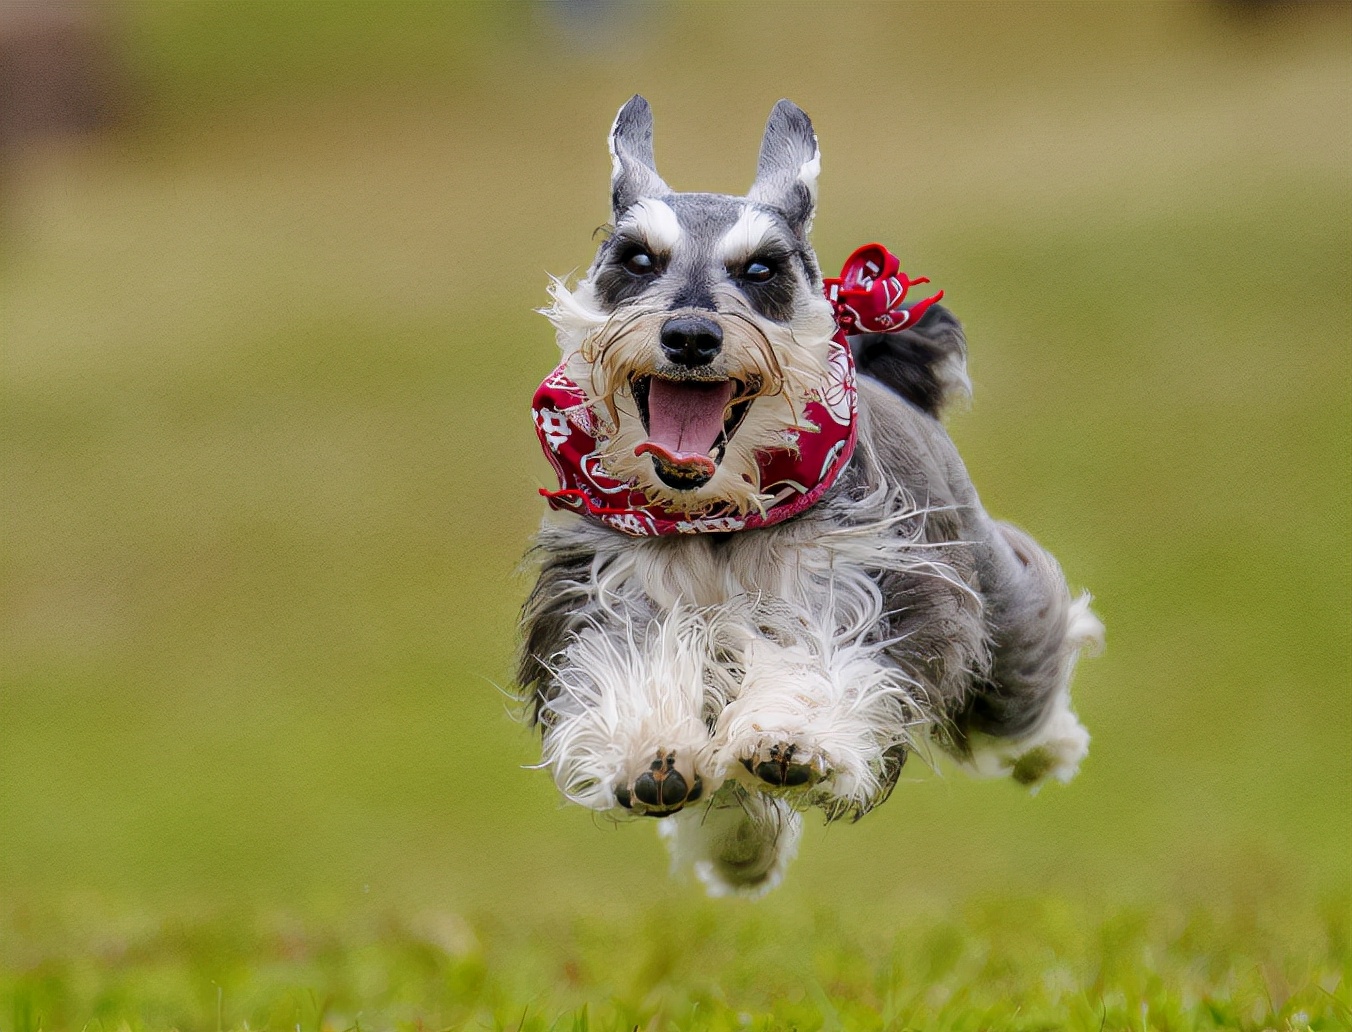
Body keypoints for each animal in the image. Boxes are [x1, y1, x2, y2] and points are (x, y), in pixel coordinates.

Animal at [516, 94, 1097, 898]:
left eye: (762, 268)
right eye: (636, 259)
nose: (690, 335)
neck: (717, 515)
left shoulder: (865, 587)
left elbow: (816, 661)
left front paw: (789, 738)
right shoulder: (610, 590)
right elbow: (633, 666)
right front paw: (652, 755)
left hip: (993, 612)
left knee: (1027, 674)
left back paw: (1053, 746)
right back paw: (741, 851)